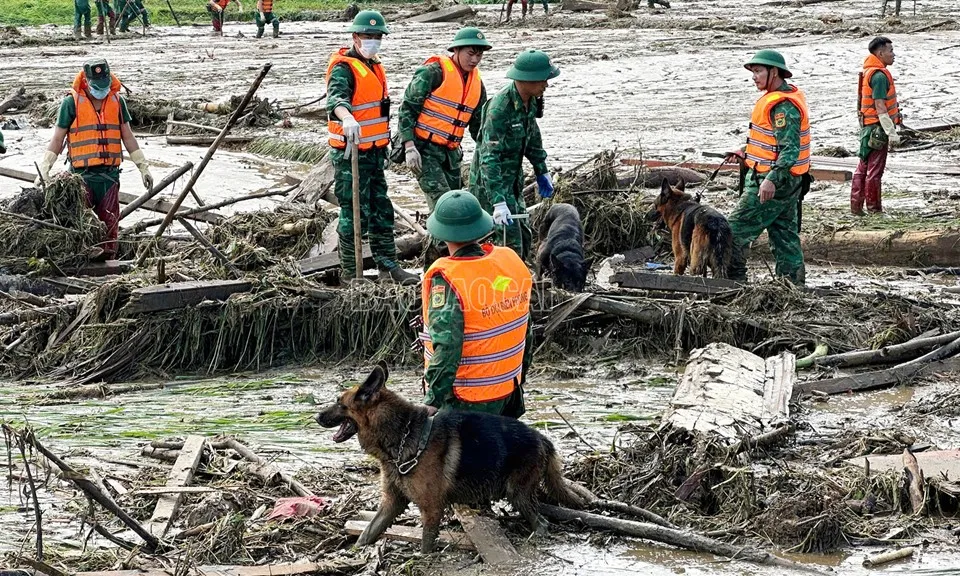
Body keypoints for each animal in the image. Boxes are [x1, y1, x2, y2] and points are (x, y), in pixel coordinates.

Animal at [316, 362, 584, 552]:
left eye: (339, 403)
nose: (316, 417)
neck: (402, 434)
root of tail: (543, 438)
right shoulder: (392, 503)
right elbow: (367, 532)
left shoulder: (432, 508)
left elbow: (426, 544)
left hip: (516, 492)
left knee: (542, 522)